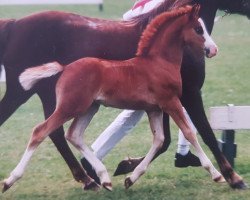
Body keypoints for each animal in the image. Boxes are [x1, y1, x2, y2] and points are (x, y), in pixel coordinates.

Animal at [3, 5, 222, 191]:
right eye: (198, 29)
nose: (213, 50)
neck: (158, 62)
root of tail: (65, 67)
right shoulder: (171, 102)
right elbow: (190, 132)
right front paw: (217, 174)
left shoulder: (154, 109)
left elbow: (159, 140)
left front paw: (130, 177)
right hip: (71, 106)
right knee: (41, 131)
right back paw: (10, 180)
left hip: (89, 108)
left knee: (73, 135)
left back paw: (103, 178)